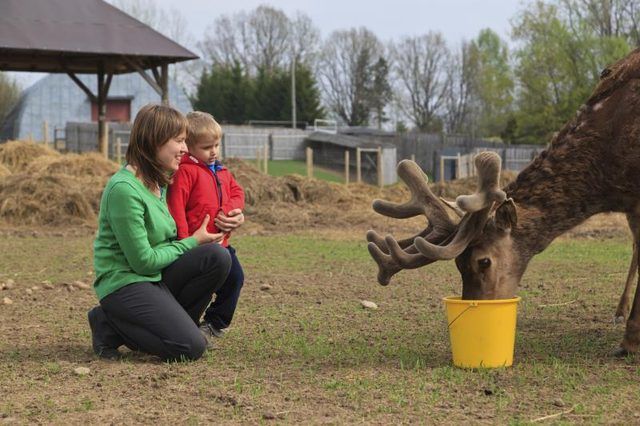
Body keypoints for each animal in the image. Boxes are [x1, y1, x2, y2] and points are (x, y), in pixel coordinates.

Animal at [368, 49, 640, 356]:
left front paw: (629, 342)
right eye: (458, 264)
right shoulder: (631, 202)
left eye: (483, 261)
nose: (478, 307)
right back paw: (618, 311)